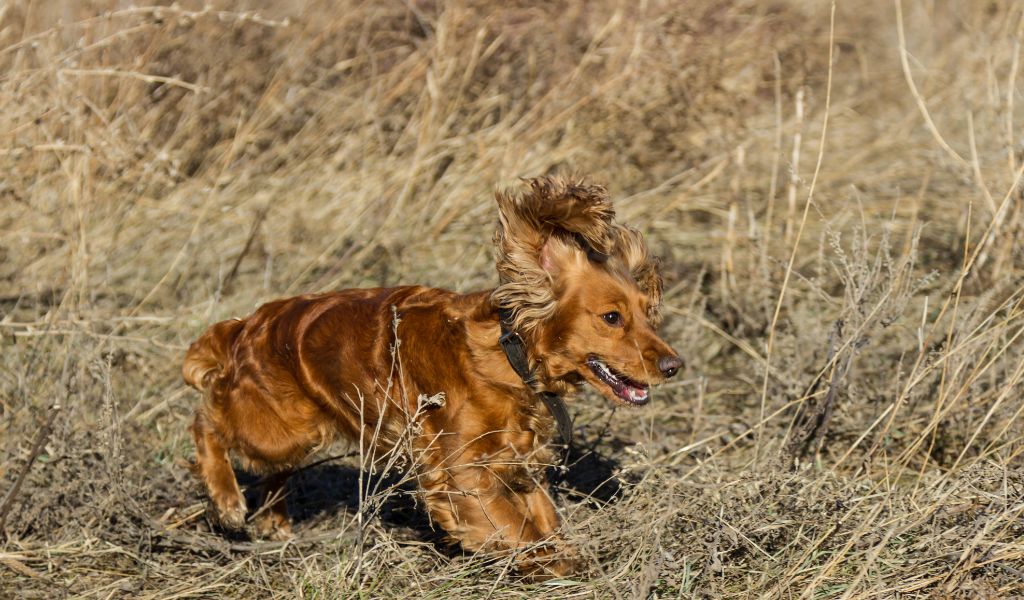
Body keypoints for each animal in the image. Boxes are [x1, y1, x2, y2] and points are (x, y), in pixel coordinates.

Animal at [184, 176, 679, 573]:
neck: (507, 356)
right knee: (207, 420)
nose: (674, 366)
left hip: (292, 435)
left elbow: (544, 516)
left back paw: (275, 522)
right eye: (612, 318)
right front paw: (555, 564)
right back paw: (227, 501)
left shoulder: (517, 463)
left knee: (271, 471)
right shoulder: (463, 474)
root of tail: (247, 325)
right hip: (278, 428)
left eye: (647, 313)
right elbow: (520, 529)